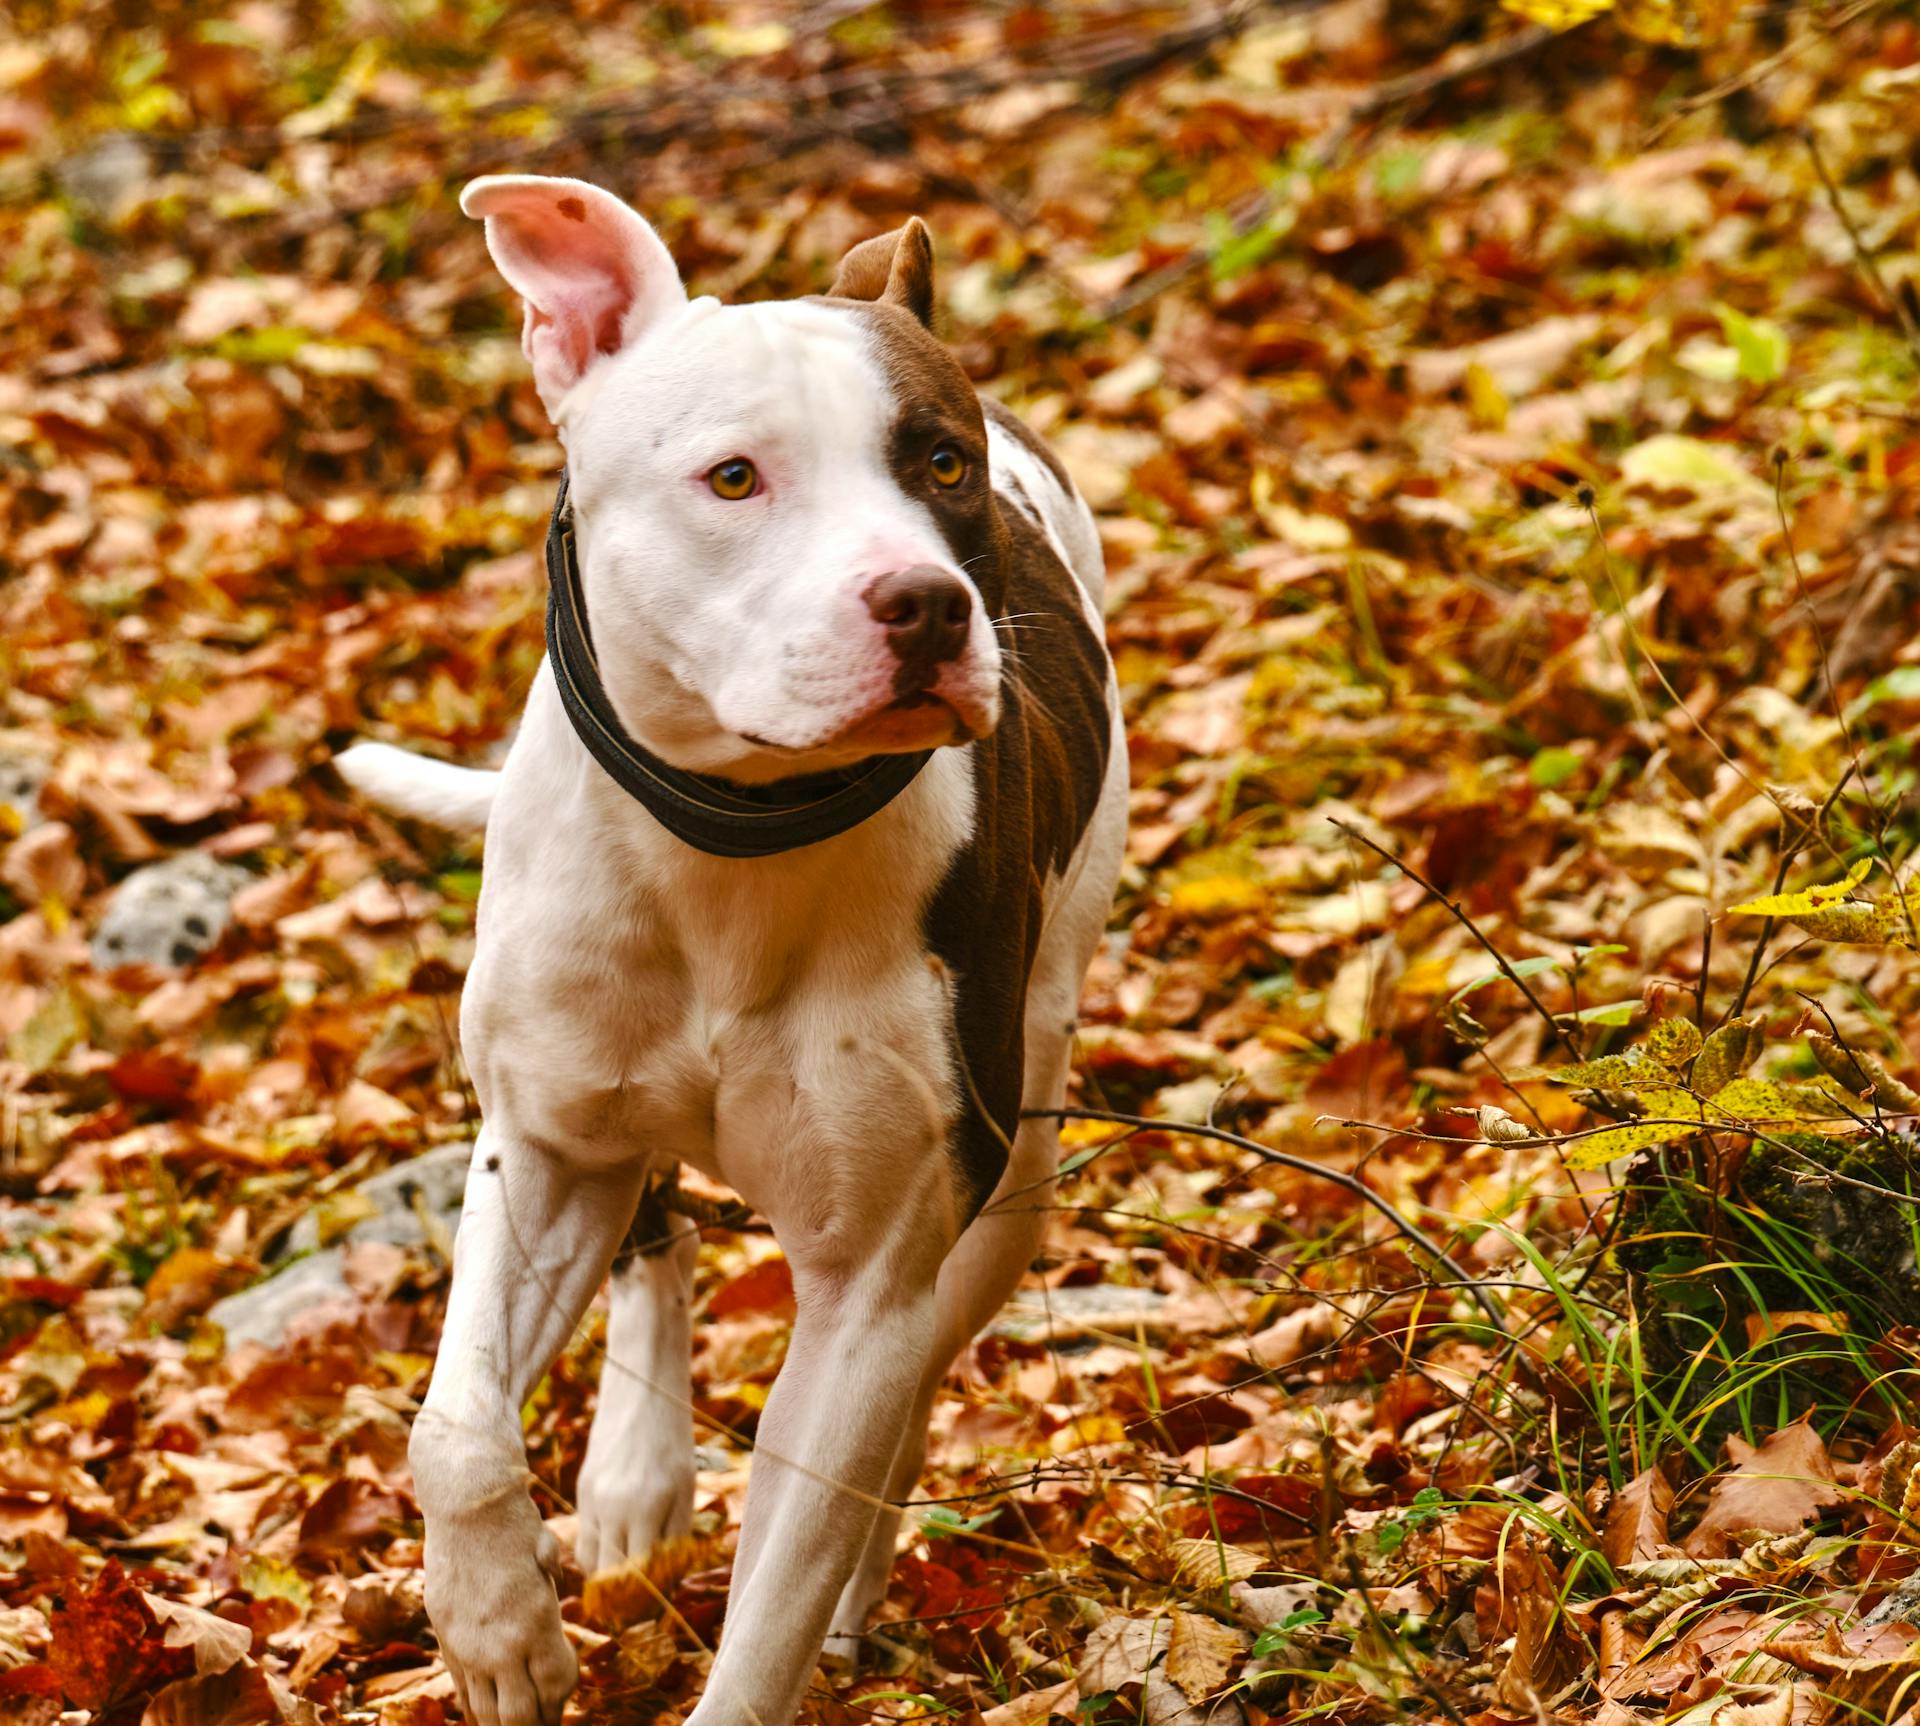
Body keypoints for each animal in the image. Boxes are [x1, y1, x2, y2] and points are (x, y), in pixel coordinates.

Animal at [334, 171, 1121, 1726]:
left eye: (941, 463)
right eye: (736, 479)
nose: (926, 602)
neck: (733, 839)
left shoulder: (874, 1283)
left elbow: (783, 1578)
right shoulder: (541, 1146)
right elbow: (454, 1428)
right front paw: (496, 1626)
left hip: (1019, 1157)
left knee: (911, 1388)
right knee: (657, 1222)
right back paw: (631, 1479)